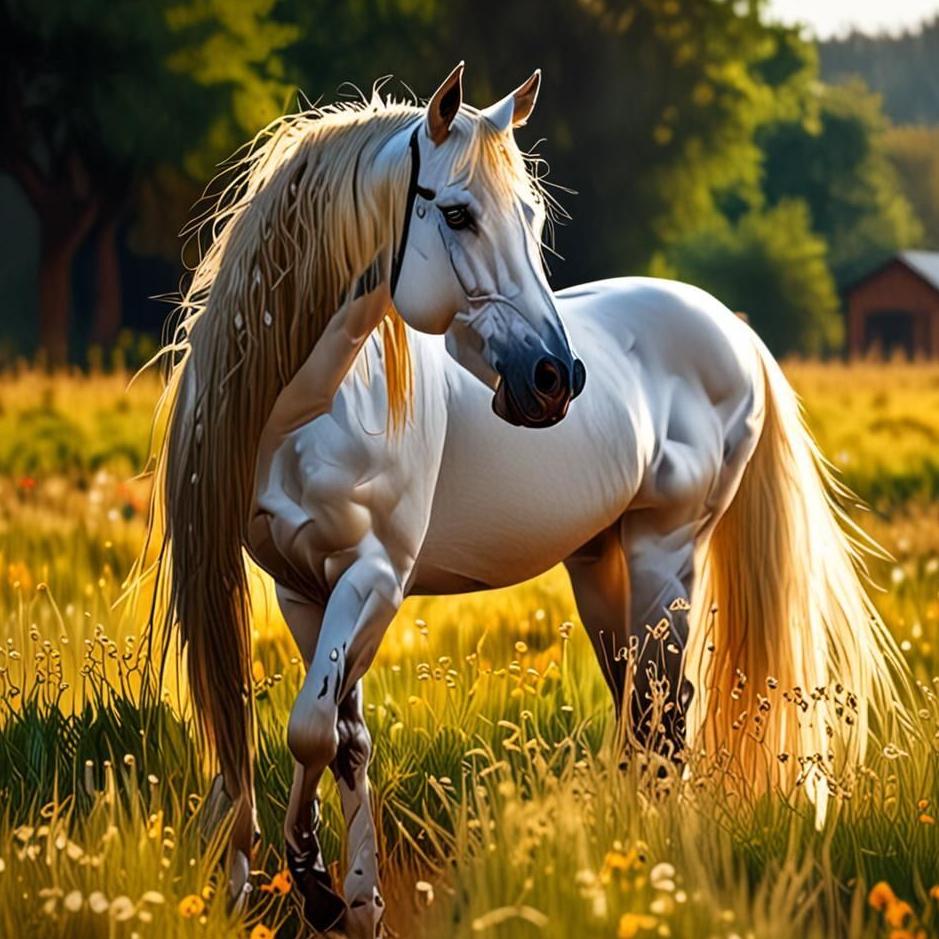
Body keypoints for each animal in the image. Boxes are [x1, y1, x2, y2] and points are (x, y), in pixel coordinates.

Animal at [146, 64, 905, 938]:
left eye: (533, 216)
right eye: (456, 213)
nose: (555, 378)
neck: (303, 407)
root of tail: (734, 330)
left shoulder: (372, 578)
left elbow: (309, 731)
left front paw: (315, 882)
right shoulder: (301, 588)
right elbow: (341, 735)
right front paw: (355, 899)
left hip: (664, 557)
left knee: (668, 714)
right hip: (600, 565)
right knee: (638, 711)